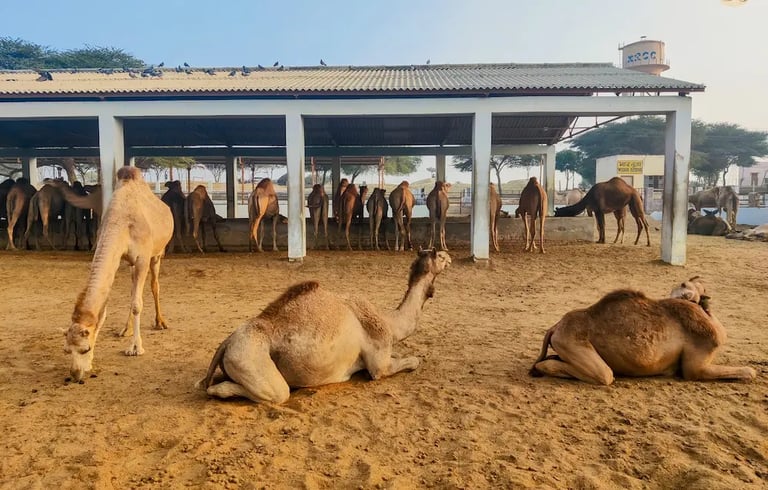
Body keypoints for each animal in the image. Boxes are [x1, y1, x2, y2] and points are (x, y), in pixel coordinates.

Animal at [64, 166, 173, 383]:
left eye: (85, 349)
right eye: (67, 350)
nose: (75, 374)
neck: (120, 222)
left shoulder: (142, 258)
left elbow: (138, 304)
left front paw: (135, 348)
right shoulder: (122, 258)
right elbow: (109, 308)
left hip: (157, 254)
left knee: (155, 285)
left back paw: (160, 322)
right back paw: (125, 329)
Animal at [197, 249, 452, 404]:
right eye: (439, 255)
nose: (449, 256)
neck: (389, 321)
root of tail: (226, 343)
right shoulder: (379, 365)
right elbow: (411, 362)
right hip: (252, 359)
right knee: (274, 392)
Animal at [529, 276, 757, 385]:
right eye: (684, 283)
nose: (687, 294)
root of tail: (555, 327)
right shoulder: (696, 367)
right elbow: (749, 372)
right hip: (575, 344)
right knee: (604, 374)